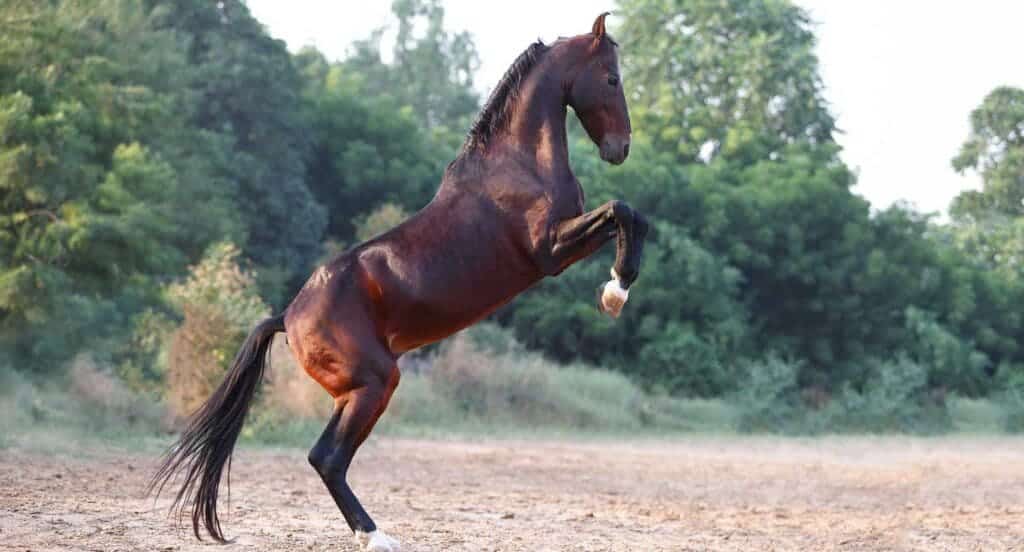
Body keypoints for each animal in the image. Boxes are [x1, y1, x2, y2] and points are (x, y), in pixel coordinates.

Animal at [149, 12, 647, 552]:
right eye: (612, 79)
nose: (621, 149)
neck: (518, 163)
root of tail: (287, 316)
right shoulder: (549, 250)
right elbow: (623, 211)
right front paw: (616, 292)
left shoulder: (566, 242)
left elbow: (630, 217)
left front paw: (616, 287)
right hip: (375, 382)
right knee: (328, 458)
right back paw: (377, 537)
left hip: (356, 391)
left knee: (324, 456)